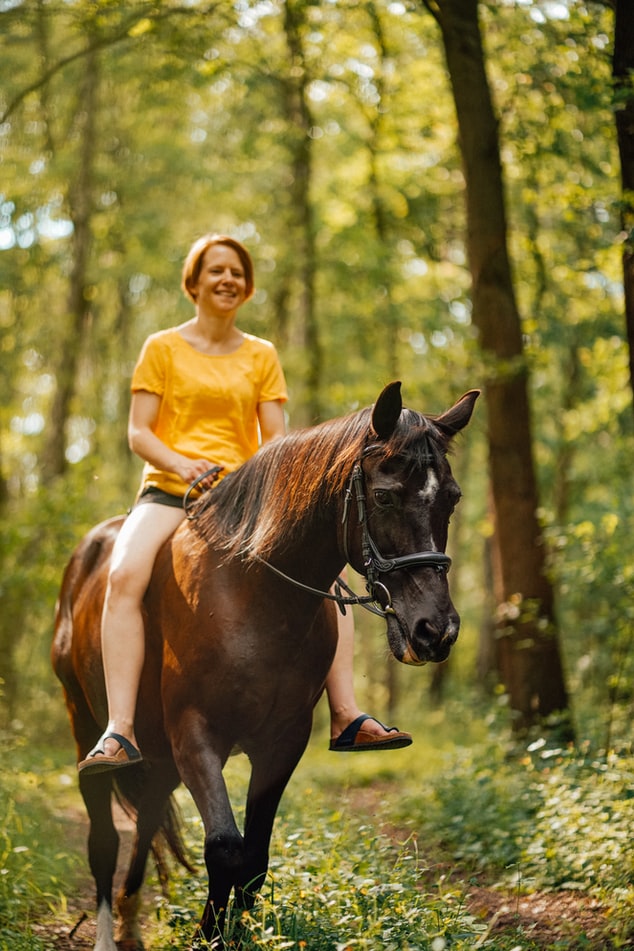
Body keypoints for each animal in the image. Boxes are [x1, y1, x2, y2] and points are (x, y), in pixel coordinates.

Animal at [52, 381, 478, 950]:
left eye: (451, 498)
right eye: (385, 495)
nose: (436, 631)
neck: (251, 596)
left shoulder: (283, 740)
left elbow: (254, 857)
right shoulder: (196, 734)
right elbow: (224, 849)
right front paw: (209, 937)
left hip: (160, 758)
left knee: (145, 823)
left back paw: (129, 924)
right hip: (85, 724)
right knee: (104, 838)